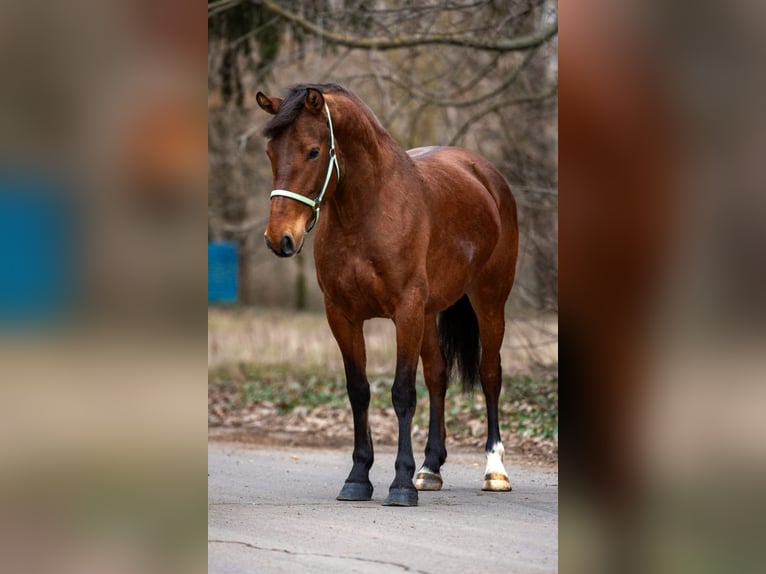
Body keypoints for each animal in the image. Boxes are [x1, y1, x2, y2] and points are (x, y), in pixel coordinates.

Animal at [256, 83, 518, 506]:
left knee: (490, 374)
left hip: (490, 300)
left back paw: (494, 470)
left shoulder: (405, 311)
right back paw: (430, 469)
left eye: (313, 151)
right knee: (438, 376)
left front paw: (400, 484)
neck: (367, 212)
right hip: (429, 314)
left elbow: (402, 393)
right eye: (270, 152)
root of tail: (486, 175)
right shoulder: (342, 315)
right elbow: (359, 390)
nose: (280, 239)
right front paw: (358, 477)